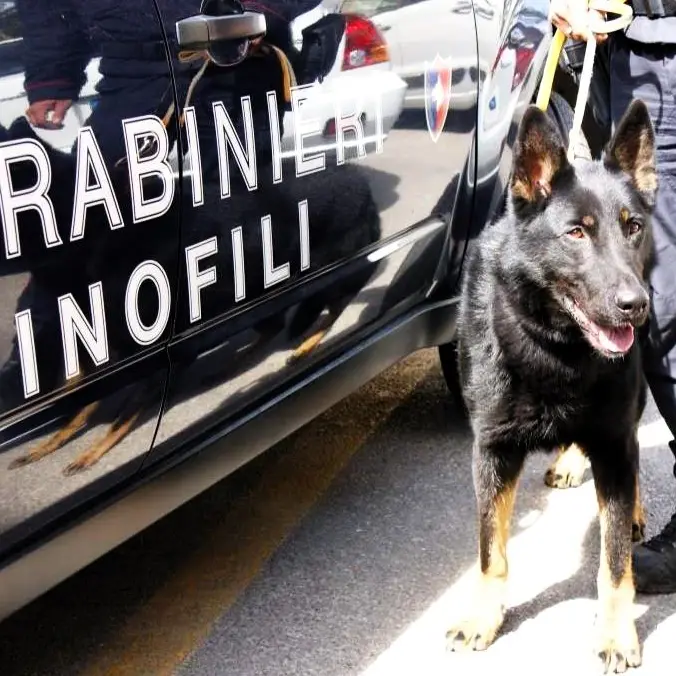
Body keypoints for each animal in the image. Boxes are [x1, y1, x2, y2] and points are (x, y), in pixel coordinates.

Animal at [446, 99, 656, 672]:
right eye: (577, 233)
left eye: (632, 227)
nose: (636, 304)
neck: (558, 350)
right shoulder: (492, 451)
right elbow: (490, 549)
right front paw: (483, 615)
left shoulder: (613, 443)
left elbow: (613, 563)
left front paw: (616, 633)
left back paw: (630, 508)